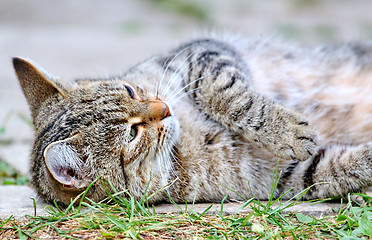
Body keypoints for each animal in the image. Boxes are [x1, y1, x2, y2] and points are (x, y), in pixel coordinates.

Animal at [12, 36, 372, 206]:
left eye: (130, 90)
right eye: (132, 133)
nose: (164, 108)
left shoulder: (202, 53)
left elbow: (227, 95)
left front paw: (283, 129)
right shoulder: (278, 177)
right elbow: (339, 165)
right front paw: (291, 134)